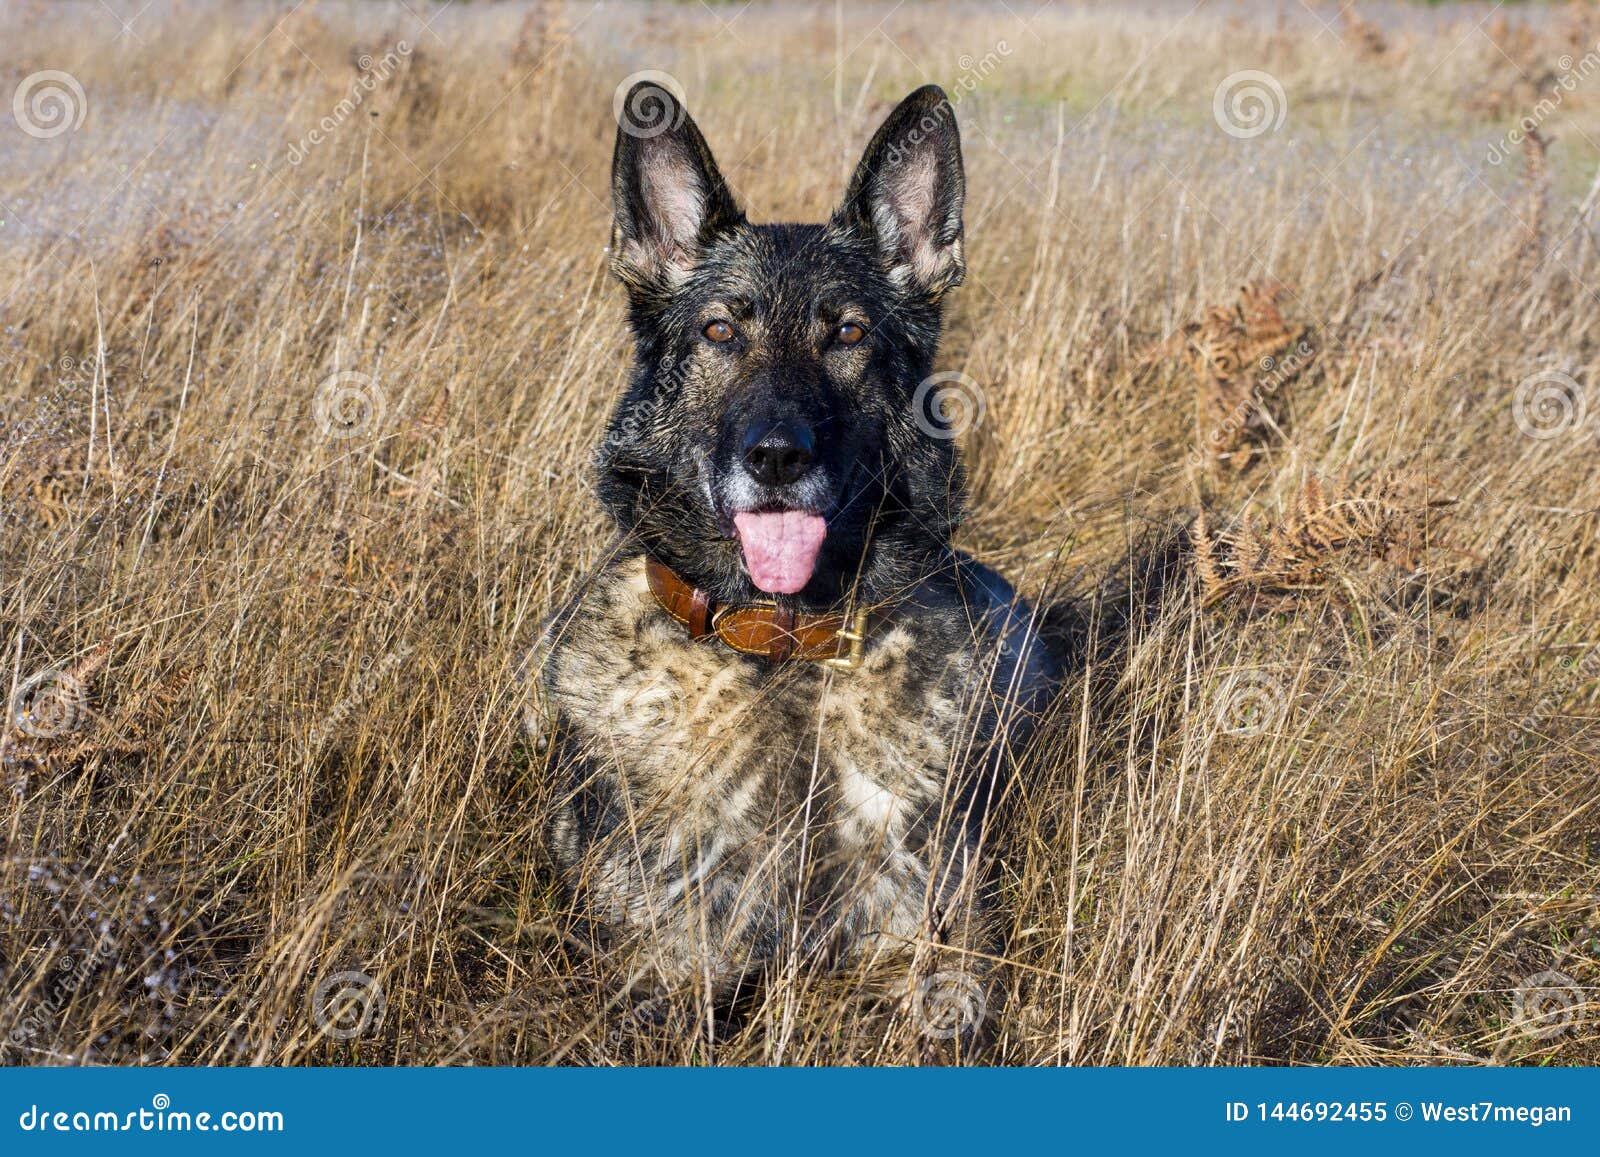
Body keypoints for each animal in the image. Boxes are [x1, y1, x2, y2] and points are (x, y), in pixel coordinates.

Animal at [534, 79, 1062, 1043]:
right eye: (718, 331)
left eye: (847, 333)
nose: (777, 457)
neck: (779, 650)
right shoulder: (661, 969)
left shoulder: (933, 954)